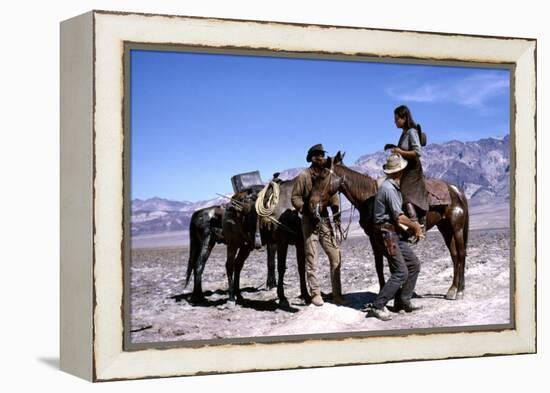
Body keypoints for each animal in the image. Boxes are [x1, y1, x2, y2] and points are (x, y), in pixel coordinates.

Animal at [310, 152, 470, 298]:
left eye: (323, 176)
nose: (311, 204)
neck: (369, 197)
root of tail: (455, 190)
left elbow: (389, 264)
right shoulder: (373, 238)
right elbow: (379, 265)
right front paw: (386, 291)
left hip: (457, 228)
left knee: (461, 254)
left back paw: (460, 291)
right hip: (445, 228)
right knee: (454, 255)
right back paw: (452, 289)